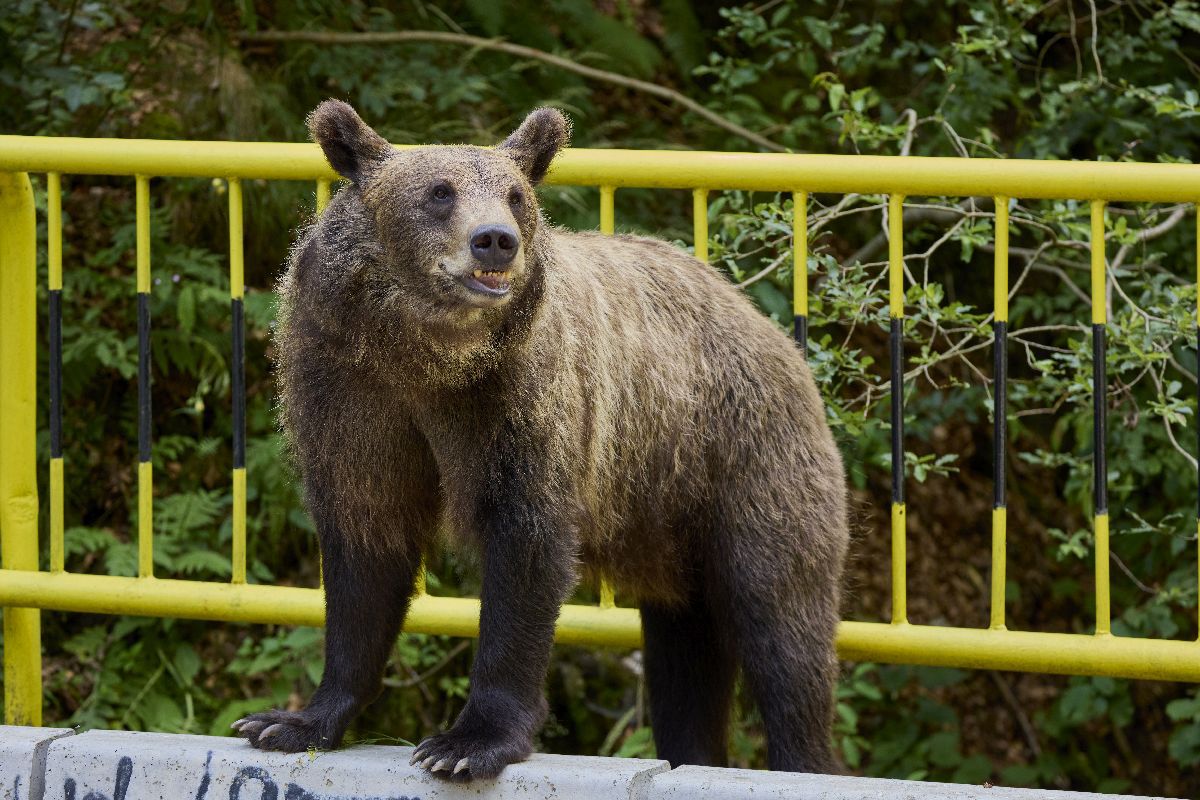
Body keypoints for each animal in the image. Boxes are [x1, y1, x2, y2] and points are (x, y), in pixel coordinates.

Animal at [234, 100, 849, 782]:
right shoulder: (349, 396)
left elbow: (525, 552)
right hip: (671, 519)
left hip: (746, 461)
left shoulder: (521, 404)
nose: (495, 240)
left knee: (782, 628)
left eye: (514, 195)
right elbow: (365, 552)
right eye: (439, 192)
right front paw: (288, 722)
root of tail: (778, 338)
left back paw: (801, 759)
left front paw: (466, 743)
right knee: (687, 657)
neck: (425, 356)